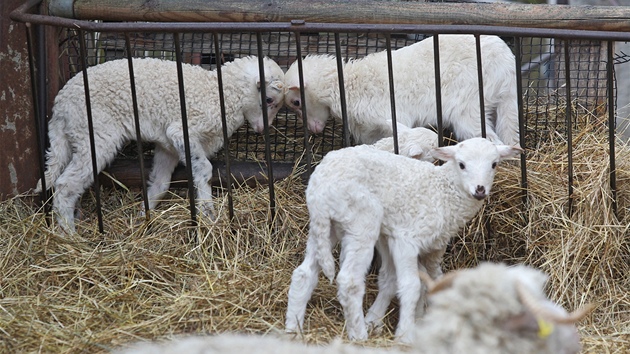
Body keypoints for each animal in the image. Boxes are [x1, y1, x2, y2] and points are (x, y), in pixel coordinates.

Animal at [35, 56, 288, 232]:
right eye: (269, 100)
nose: (263, 129)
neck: (221, 94)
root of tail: (60, 106)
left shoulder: (168, 146)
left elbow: (161, 183)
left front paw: (143, 215)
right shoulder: (182, 131)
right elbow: (204, 170)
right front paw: (208, 213)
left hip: (76, 136)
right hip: (95, 134)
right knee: (65, 184)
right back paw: (68, 234)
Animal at [286, 136, 524, 342]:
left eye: (494, 164)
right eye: (462, 164)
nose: (480, 190)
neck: (444, 193)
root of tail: (320, 183)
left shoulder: (424, 245)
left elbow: (408, 281)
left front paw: (391, 320)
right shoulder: (406, 239)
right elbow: (412, 286)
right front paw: (405, 334)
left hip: (327, 225)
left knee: (304, 273)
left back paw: (293, 328)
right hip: (361, 221)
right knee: (349, 281)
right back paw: (359, 335)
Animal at [288, 34, 524, 147]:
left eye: (296, 102)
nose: (313, 130)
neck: (347, 85)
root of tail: (507, 64)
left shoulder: (390, 118)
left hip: (468, 105)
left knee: (490, 139)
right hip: (499, 103)